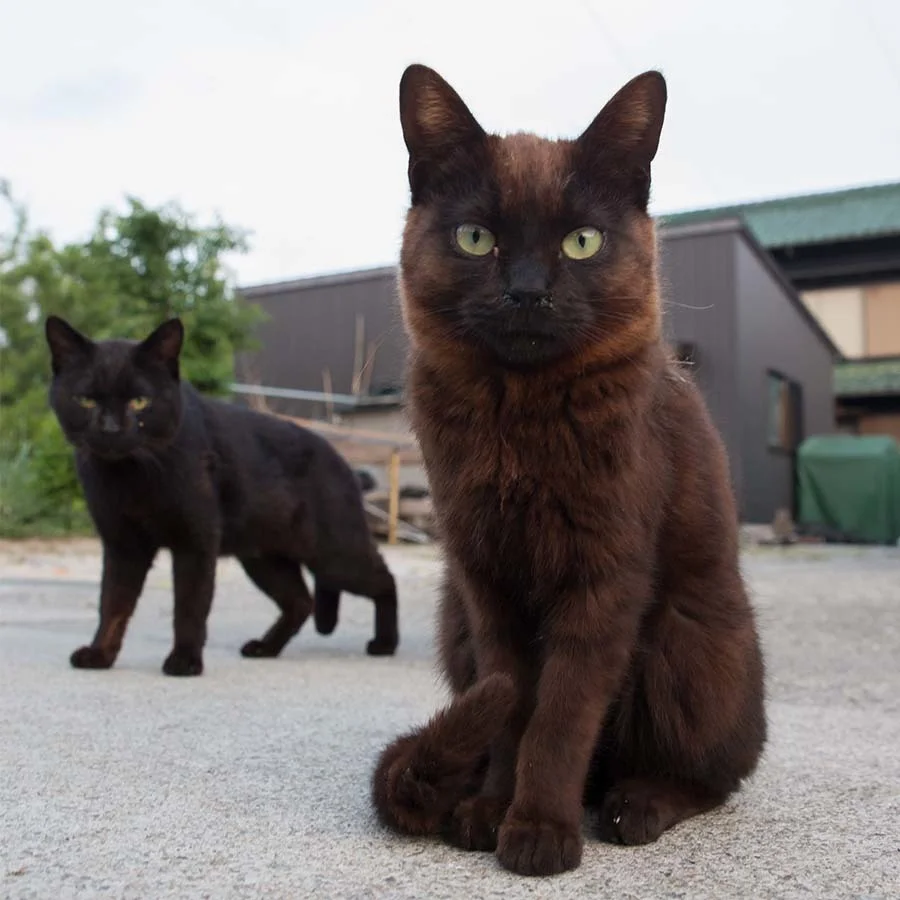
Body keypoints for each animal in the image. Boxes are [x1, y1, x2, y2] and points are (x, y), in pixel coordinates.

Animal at [47, 316, 400, 676]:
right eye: (85, 400)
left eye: (140, 401)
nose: (110, 429)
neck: (130, 476)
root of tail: (343, 461)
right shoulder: (123, 546)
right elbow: (113, 605)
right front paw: (100, 654)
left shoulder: (195, 542)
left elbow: (189, 606)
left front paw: (185, 660)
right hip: (264, 558)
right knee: (301, 601)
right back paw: (265, 648)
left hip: (334, 554)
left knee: (385, 579)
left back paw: (385, 643)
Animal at [372, 67, 768, 876]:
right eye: (476, 237)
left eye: (582, 241)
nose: (527, 290)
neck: (520, 422)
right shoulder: (485, 580)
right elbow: (511, 708)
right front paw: (489, 811)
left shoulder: (605, 576)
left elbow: (559, 716)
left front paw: (538, 831)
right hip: (454, 619)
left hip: (686, 638)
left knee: (713, 776)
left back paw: (635, 804)